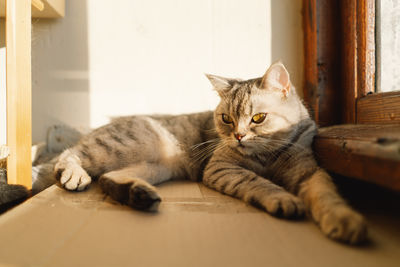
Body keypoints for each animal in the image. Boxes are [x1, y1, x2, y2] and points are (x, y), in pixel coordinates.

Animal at [54, 62, 368, 245]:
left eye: (258, 118)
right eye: (227, 119)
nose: (239, 136)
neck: (267, 154)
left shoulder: (308, 170)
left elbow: (325, 193)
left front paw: (344, 220)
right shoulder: (222, 168)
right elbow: (259, 182)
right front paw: (282, 198)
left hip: (153, 166)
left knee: (109, 178)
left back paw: (139, 195)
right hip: (122, 145)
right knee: (71, 153)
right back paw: (73, 174)